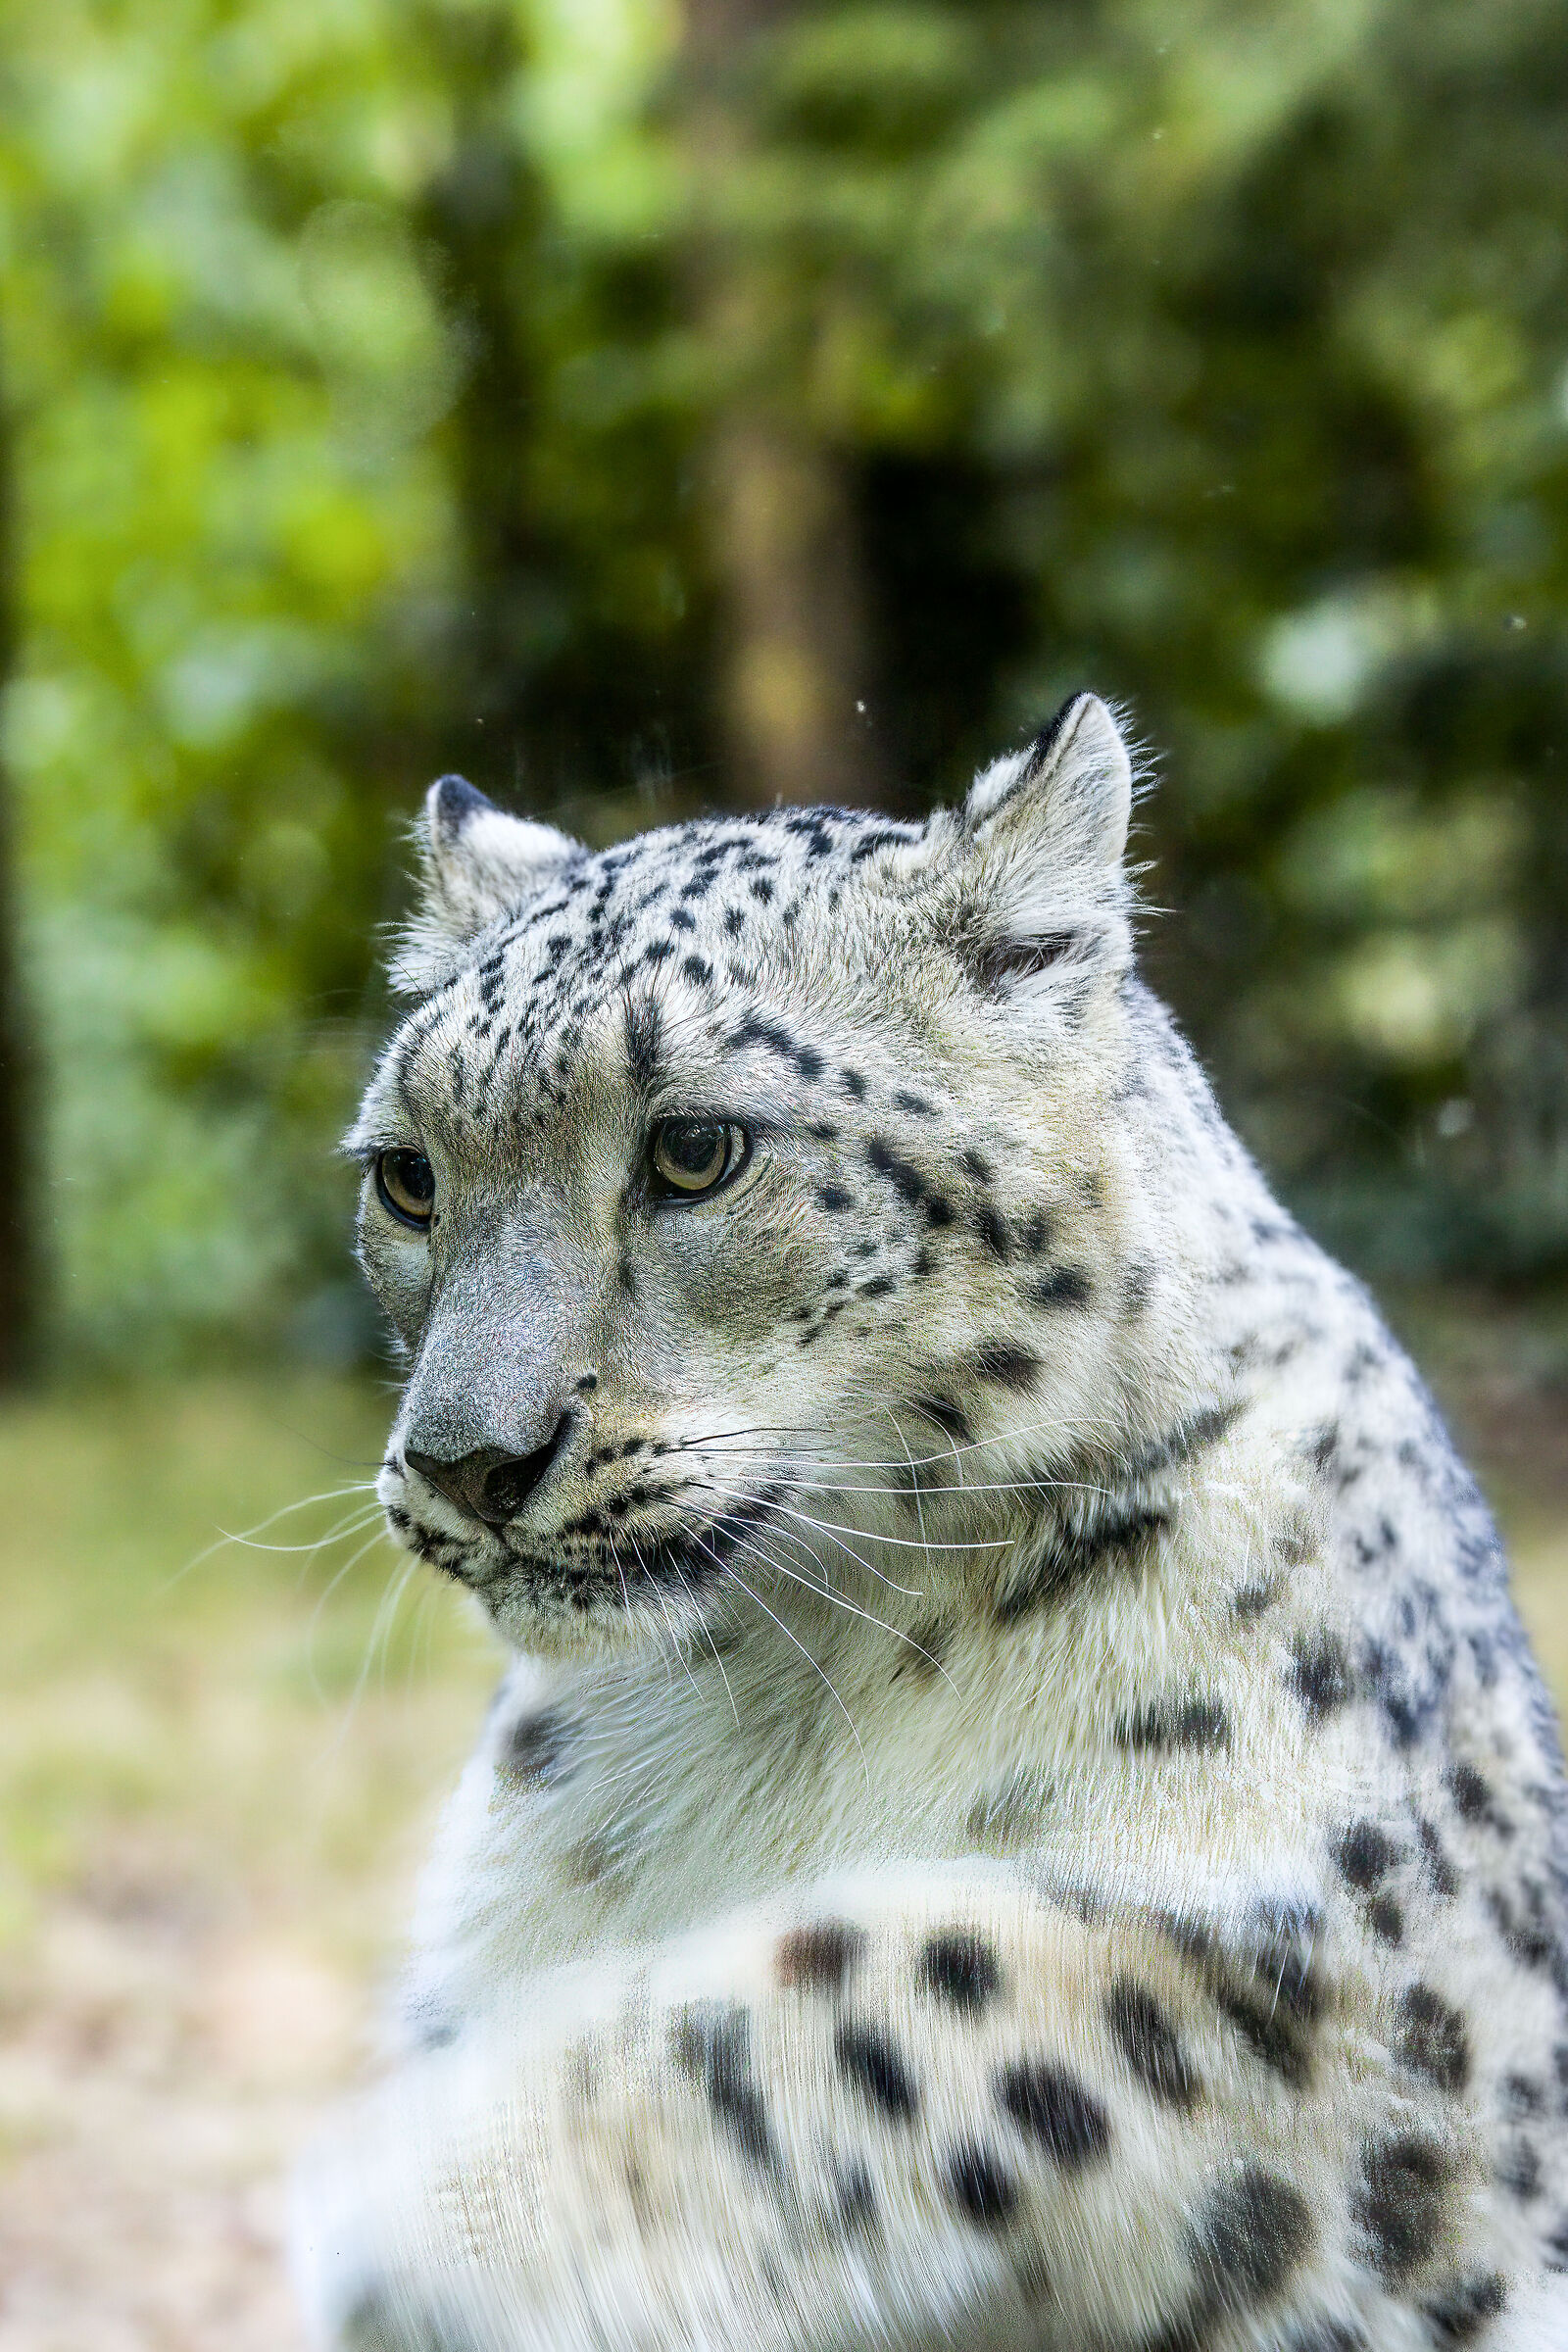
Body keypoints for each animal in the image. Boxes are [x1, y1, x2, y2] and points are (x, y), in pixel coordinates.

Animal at [292, 695, 1568, 2350]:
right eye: (407, 1175)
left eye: (696, 1149)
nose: (465, 1459)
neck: (781, 1697)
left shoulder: (1357, 1992)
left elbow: (932, 1968)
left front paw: (435, 2197)